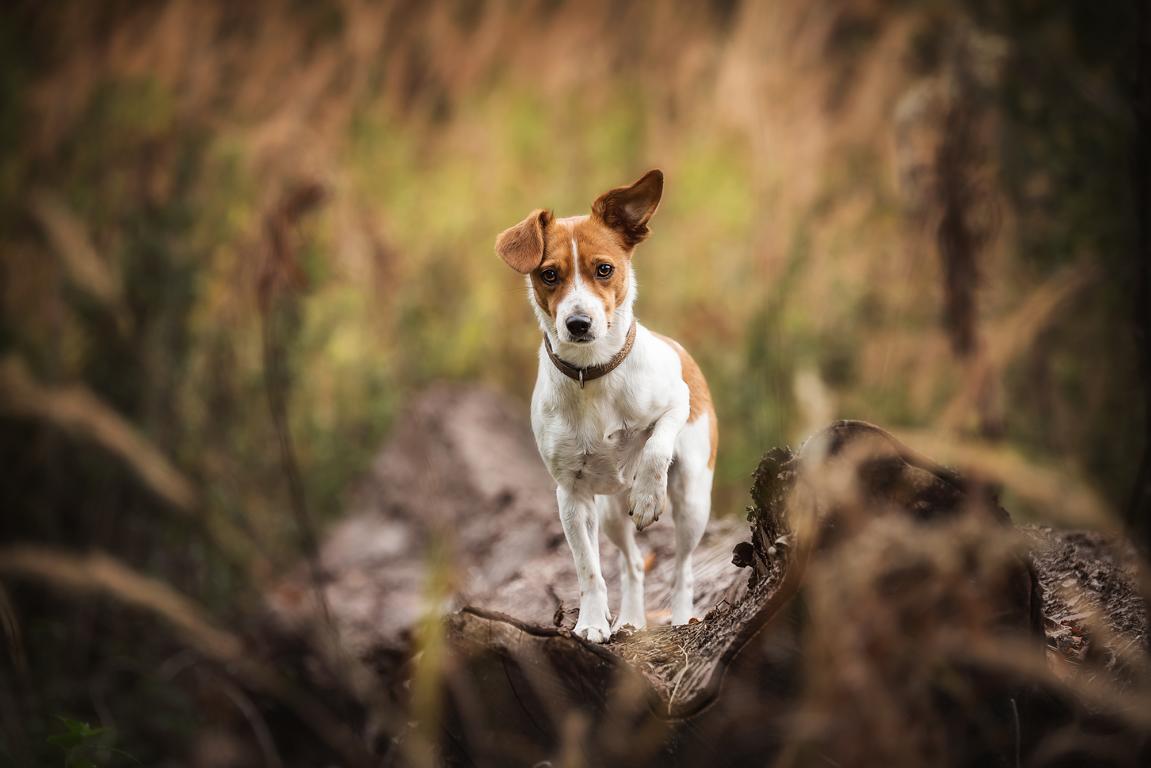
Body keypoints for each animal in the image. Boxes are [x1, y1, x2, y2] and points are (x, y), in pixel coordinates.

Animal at [497, 169, 713, 644]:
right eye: (549, 274)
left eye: (604, 269)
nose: (578, 324)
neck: (592, 373)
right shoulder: (572, 496)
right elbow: (588, 570)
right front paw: (592, 622)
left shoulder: (675, 404)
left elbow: (655, 444)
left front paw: (648, 494)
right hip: (611, 514)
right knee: (632, 565)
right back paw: (629, 619)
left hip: (692, 498)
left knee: (684, 568)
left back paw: (682, 614)